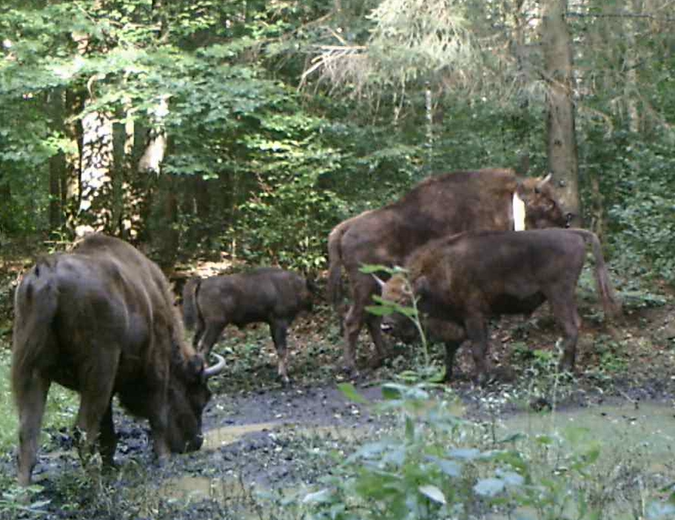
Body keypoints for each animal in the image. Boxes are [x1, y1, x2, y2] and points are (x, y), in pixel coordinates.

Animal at [11, 234, 224, 486]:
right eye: (200, 397)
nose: (196, 442)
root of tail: (48, 271)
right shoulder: (155, 367)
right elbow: (157, 414)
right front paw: (163, 457)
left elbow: (108, 428)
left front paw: (110, 465)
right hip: (99, 367)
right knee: (82, 430)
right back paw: (93, 483)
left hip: (33, 370)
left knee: (28, 431)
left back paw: (25, 488)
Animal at [182, 268, 314, 382]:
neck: (294, 285)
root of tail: (202, 282)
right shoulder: (279, 322)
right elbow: (282, 349)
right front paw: (284, 377)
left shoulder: (273, 324)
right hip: (215, 325)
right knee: (203, 348)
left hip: (202, 324)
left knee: (195, 344)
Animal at [328, 169, 572, 372]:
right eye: (549, 203)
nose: (566, 223)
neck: (508, 204)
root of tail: (347, 227)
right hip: (365, 286)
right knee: (353, 321)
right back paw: (351, 367)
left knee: (371, 319)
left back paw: (385, 356)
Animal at [380, 230, 624, 384]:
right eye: (382, 300)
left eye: (403, 301)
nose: (386, 327)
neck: (439, 271)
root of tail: (574, 234)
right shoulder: (457, 319)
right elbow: (451, 347)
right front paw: (444, 376)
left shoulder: (474, 315)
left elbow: (477, 348)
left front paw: (481, 379)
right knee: (574, 326)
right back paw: (568, 370)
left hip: (558, 295)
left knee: (570, 328)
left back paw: (563, 372)